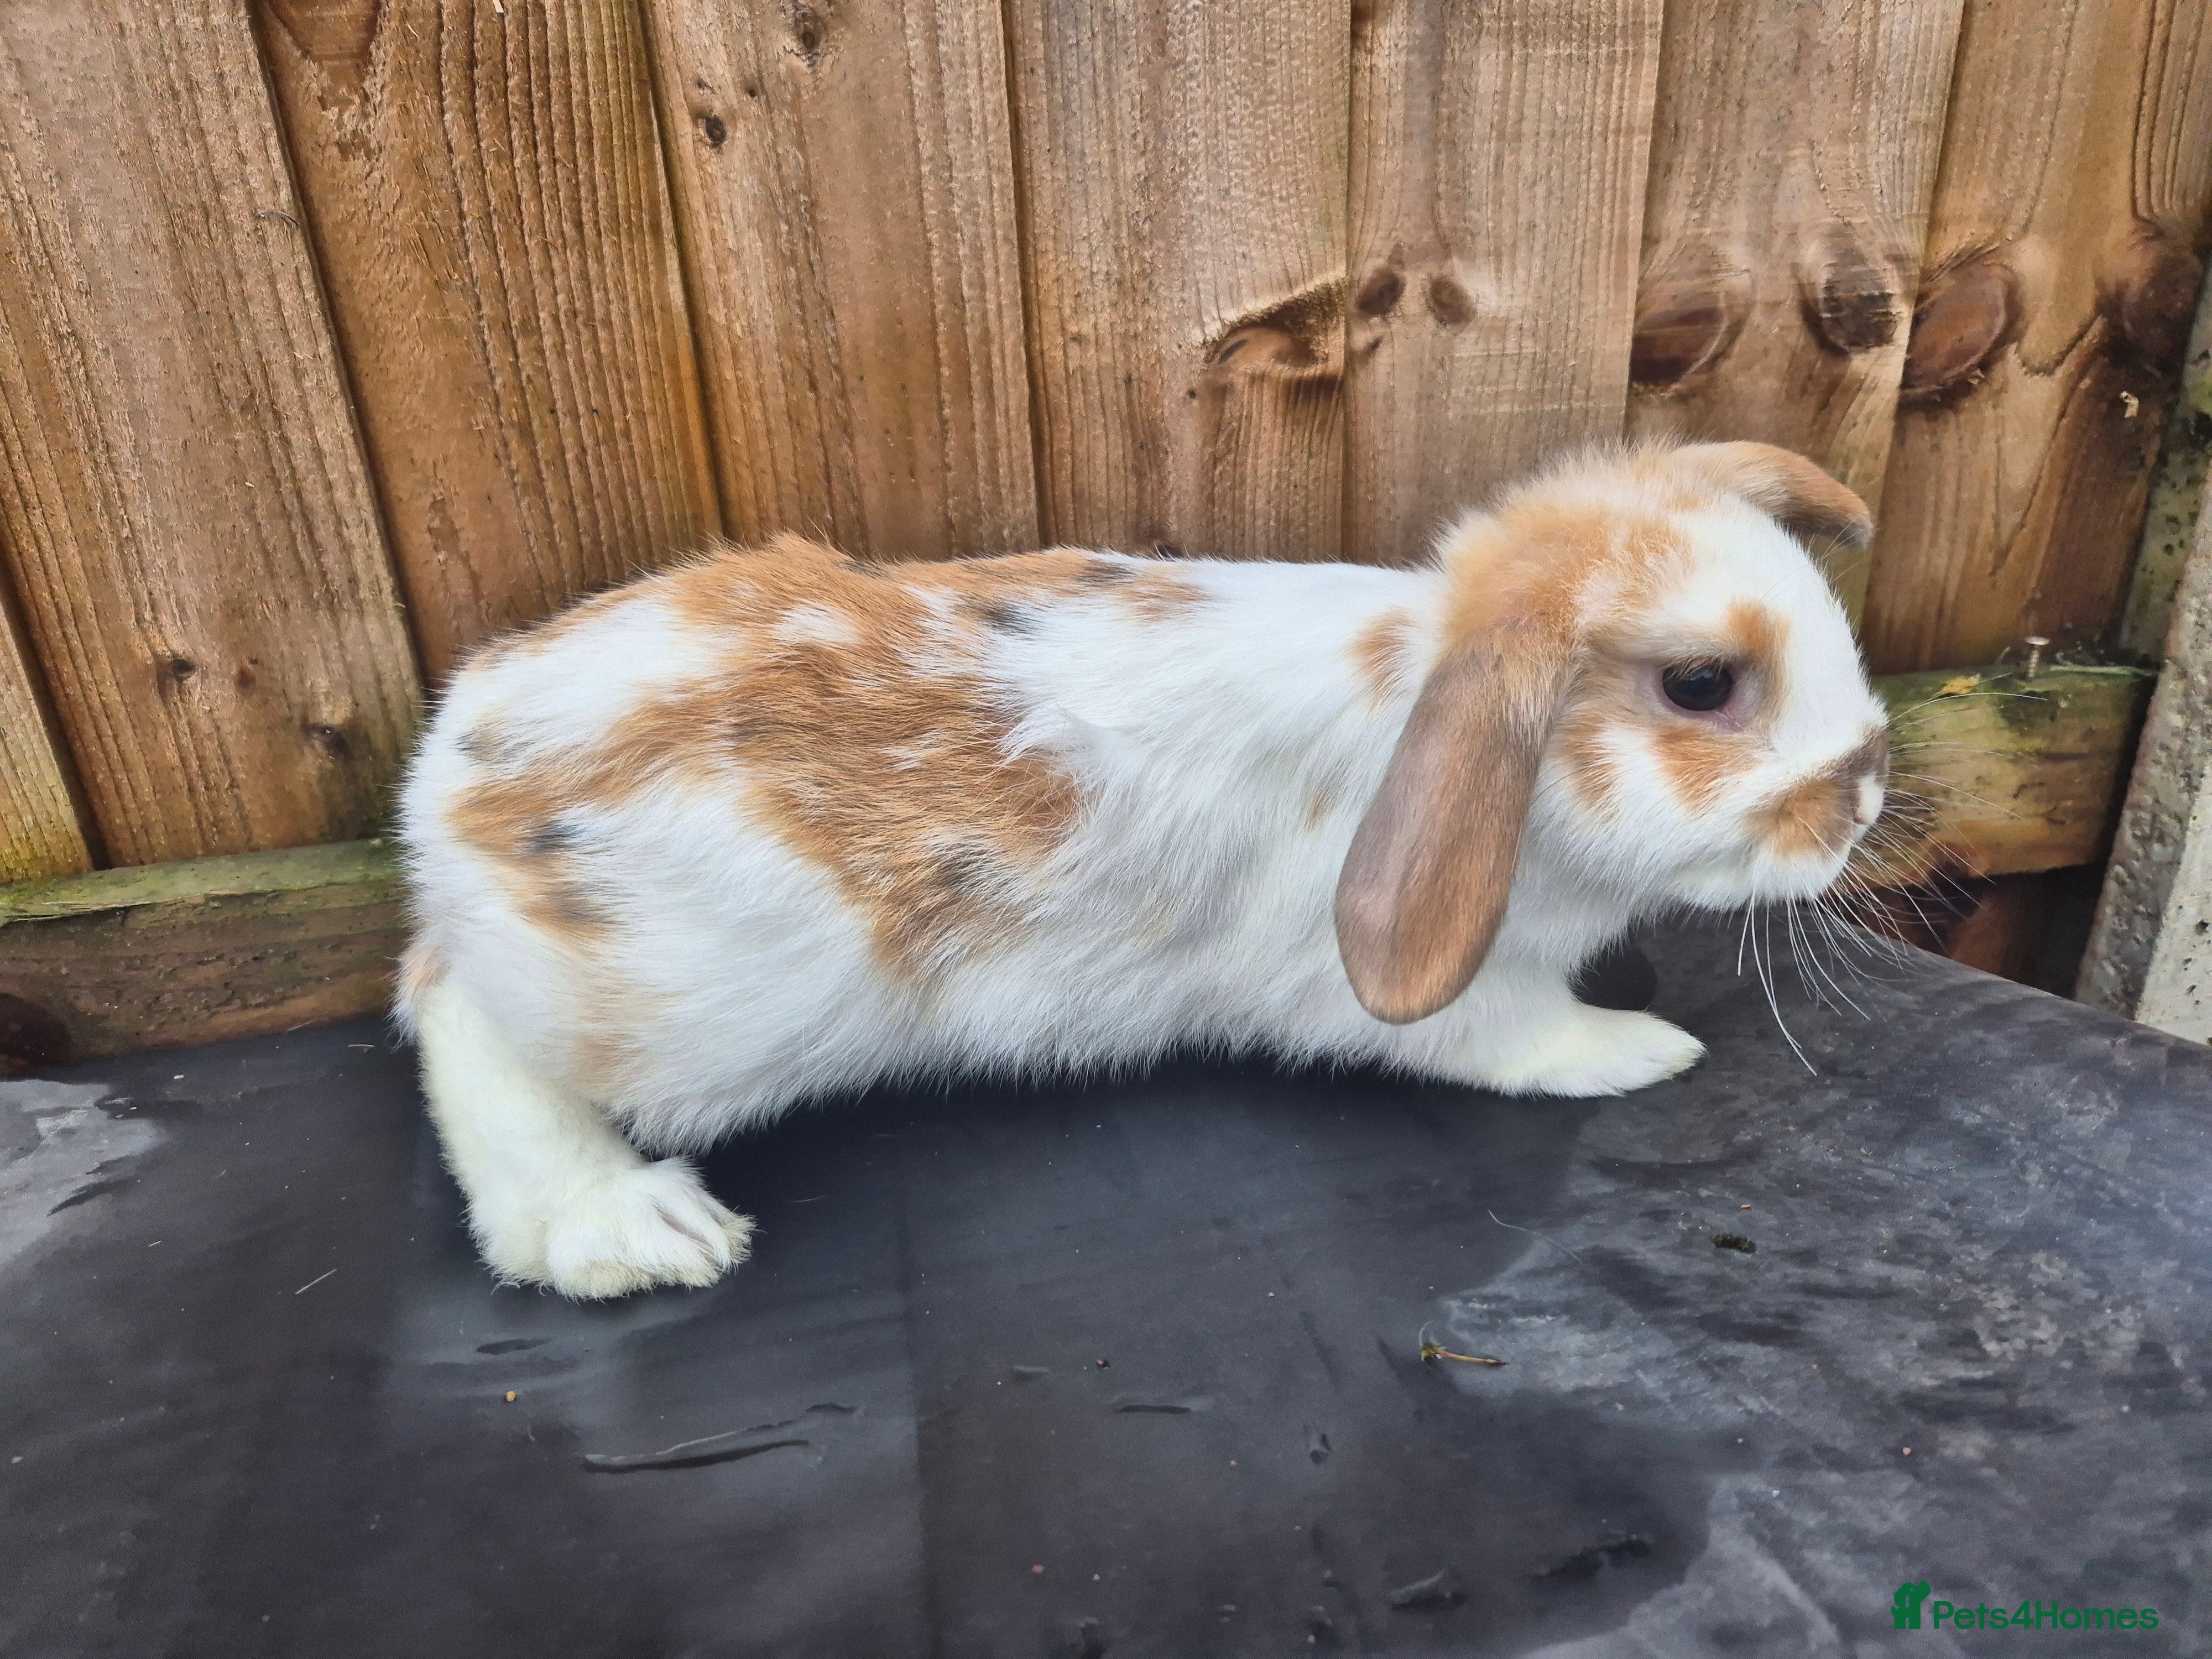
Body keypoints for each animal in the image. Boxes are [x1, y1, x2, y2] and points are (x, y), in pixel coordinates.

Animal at [395, 440, 1888, 1298]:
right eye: (1700, 685)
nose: (1870, 782)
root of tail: (450, 772)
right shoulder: (1460, 994)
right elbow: (1519, 1042)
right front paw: (1640, 1050)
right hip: (697, 1008)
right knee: (465, 1018)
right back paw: (623, 1230)